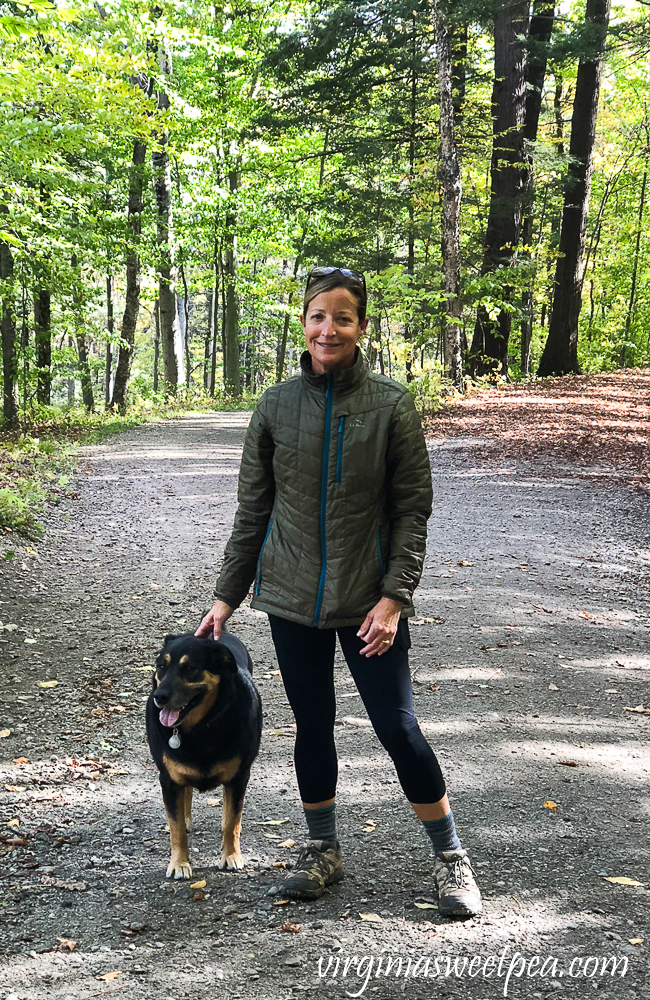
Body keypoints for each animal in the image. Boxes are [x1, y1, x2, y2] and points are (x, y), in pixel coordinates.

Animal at [145, 628, 260, 880]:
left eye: (189, 668)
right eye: (161, 666)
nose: (160, 696)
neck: (200, 727)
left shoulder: (239, 778)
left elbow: (232, 822)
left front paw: (231, 855)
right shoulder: (168, 779)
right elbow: (176, 827)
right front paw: (179, 863)